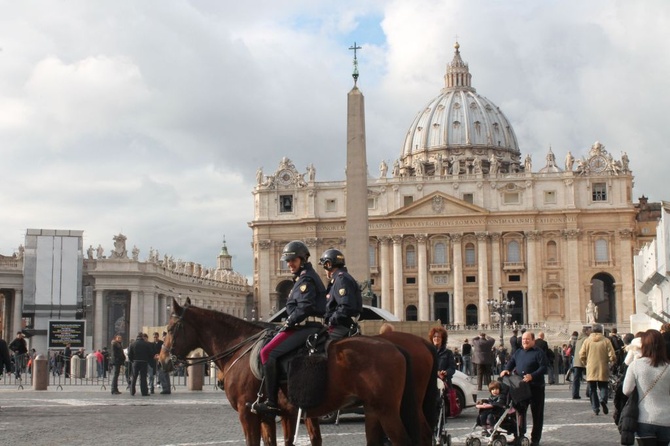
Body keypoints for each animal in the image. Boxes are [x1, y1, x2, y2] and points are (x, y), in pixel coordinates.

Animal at [160, 300, 420, 446]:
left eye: (170, 329)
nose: (161, 360)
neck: (240, 347)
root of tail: (395, 346)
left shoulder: (248, 413)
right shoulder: (274, 414)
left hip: (386, 410)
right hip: (375, 409)